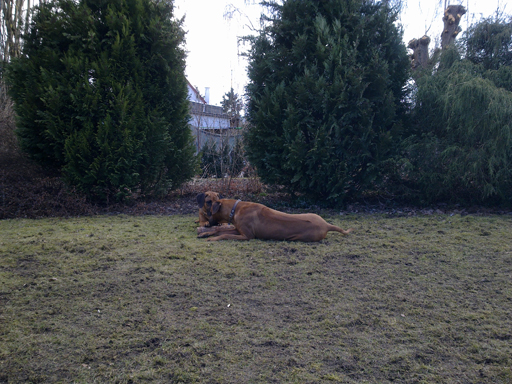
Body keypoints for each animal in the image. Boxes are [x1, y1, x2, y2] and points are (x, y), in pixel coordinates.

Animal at [196, 196, 352, 242]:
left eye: (210, 212)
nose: (207, 223)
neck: (235, 208)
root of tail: (326, 225)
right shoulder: (238, 230)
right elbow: (219, 231)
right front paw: (206, 233)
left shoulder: (247, 236)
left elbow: (224, 234)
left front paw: (212, 238)